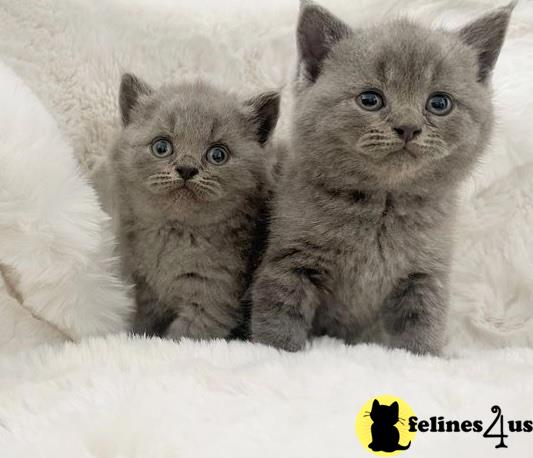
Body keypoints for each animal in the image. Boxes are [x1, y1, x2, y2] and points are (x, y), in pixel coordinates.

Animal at [110, 74, 280, 340]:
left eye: (218, 155)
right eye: (161, 147)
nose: (187, 169)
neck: (175, 234)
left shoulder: (212, 302)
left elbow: (181, 337)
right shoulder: (146, 292)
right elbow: (145, 325)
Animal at [249, 0, 512, 354]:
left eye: (439, 102)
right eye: (370, 99)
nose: (408, 127)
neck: (383, 207)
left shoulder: (424, 273)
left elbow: (423, 320)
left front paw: (424, 356)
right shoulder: (290, 261)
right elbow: (279, 312)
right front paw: (275, 351)